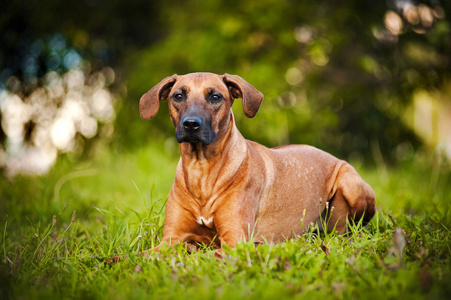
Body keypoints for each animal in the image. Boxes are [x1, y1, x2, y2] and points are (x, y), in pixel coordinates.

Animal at [107, 72, 376, 262]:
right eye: (178, 96)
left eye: (215, 97)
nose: (191, 124)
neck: (202, 170)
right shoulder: (171, 239)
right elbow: (136, 256)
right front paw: (109, 261)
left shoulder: (234, 241)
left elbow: (202, 257)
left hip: (352, 184)